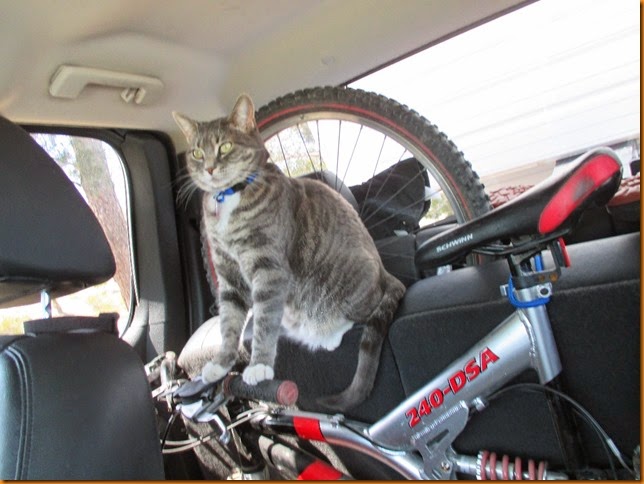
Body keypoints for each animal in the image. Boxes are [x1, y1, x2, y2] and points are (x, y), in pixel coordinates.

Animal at [173, 94, 405, 410]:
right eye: (197, 152)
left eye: (225, 146)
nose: (208, 167)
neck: (230, 197)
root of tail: (385, 271)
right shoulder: (229, 276)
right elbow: (229, 322)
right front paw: (220, 364)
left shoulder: (268, 268)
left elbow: (263, 321)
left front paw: (259, 365)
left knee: (363, 312)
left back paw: (328, 334)